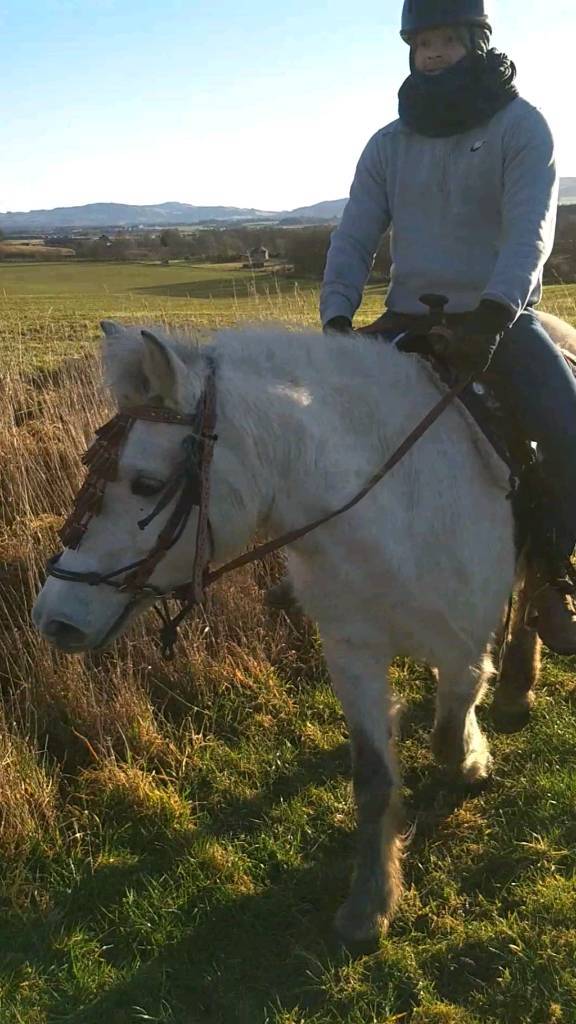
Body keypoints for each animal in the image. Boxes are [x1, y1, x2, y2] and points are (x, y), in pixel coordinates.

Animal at [31, 313, 576, 943]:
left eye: (144, 484)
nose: (55, 619)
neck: (393, 505)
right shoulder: (351, 653)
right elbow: (372, 778)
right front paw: (369, 903)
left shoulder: (462, 649)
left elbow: (445, 733)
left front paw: (472, 762)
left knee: (535, 584)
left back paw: (516, 686)